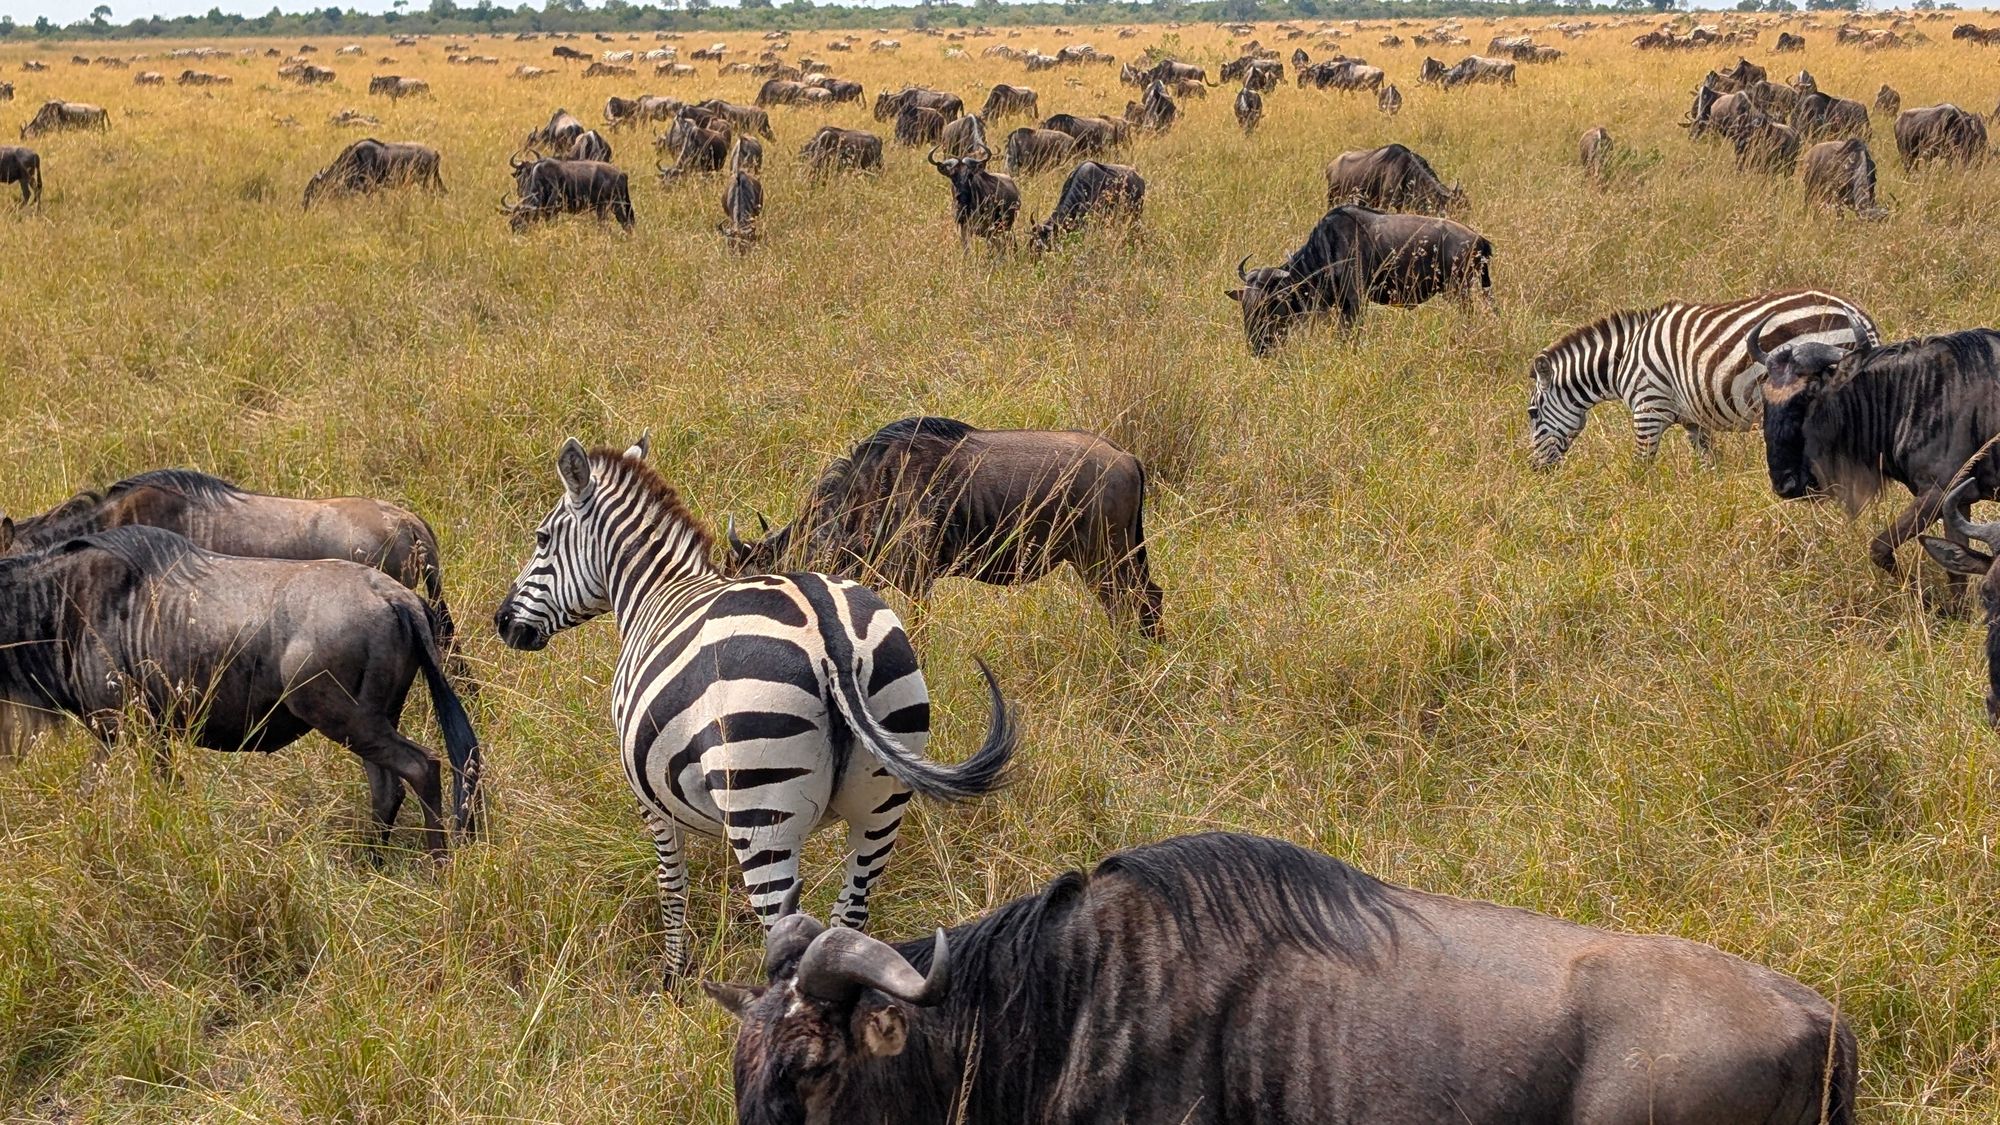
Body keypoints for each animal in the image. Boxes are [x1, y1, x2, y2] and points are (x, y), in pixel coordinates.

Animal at [493, 436, 1017, 980]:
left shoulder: (649, 795)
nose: (503, 622)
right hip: (883, 795)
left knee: (782, 931)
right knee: (848, 916)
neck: (657, 593)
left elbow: (671, 884)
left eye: (541, 538)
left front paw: (673, 975)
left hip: (762, 802)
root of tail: (831, 636)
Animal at [1527, 289, 1880, 469]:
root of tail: (1858, 315)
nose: (1535, 470)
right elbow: (1709, 464)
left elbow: (1641, 467)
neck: (1622, 360)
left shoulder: (1647, 409)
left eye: (1532, 414)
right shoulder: (1694, 420)